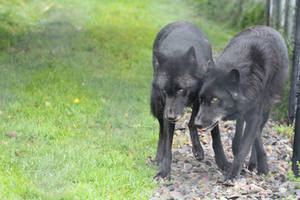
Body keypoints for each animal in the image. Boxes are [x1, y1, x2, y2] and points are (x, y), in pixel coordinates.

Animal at [151, 21, 229, 179]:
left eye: (181, 90)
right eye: (165, 91)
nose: (171, 116)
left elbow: (216, 136)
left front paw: (223, 162)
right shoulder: (167, 109)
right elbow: (168, 142)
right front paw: (164, 171)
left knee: (191, 122)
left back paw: (198, 149)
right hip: (159, 106)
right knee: (162, 131)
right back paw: (158, 157)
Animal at [195, 25, 288, 180]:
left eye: (215, 99)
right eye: (201, 99)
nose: (197, 124)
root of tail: (267, 27)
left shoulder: (255, 115)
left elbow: (247, 145)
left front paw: (234, 175)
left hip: (267, 108)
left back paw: (253, 163)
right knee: (240, 128)